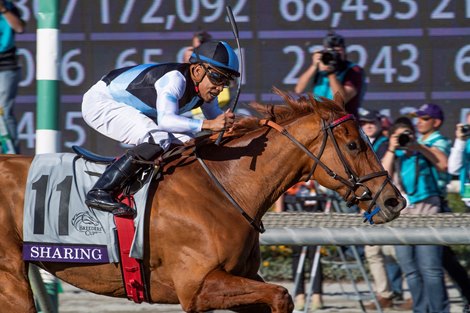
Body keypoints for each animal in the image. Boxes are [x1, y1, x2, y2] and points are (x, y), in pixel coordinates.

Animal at [0, 89, 404, 310]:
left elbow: (277, 296)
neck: (224, 189)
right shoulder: (197, 286)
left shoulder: (240, 279)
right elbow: (282, 296)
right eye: (354, 145)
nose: (393, 201)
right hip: (12, 280)